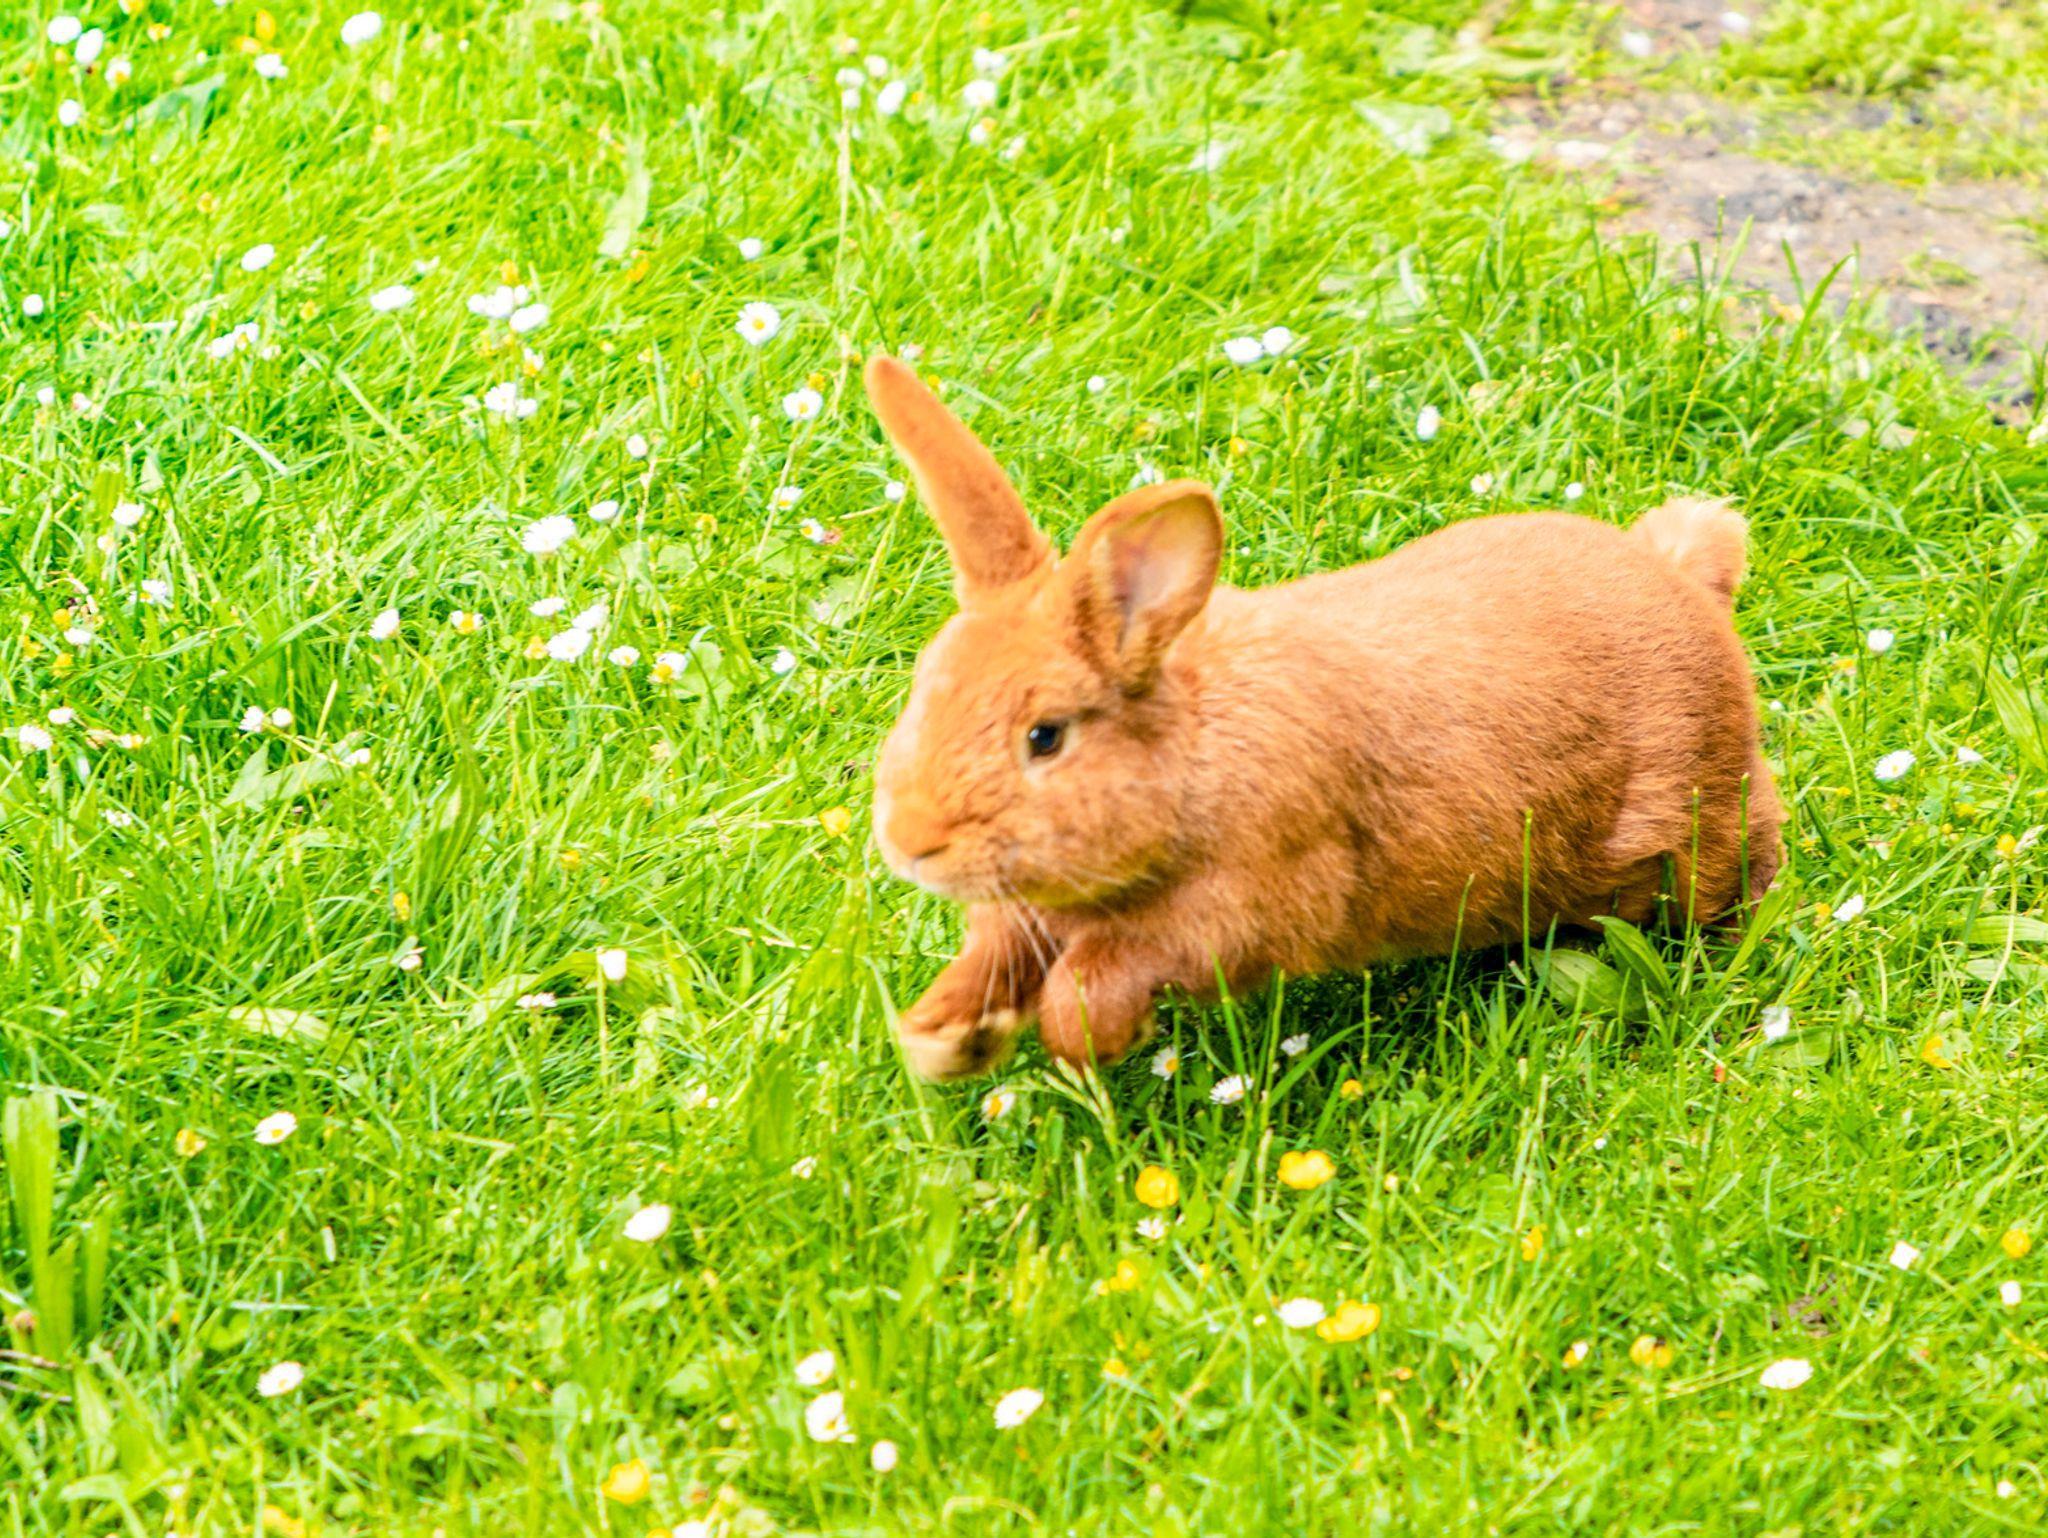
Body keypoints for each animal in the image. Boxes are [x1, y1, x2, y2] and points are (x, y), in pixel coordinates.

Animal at [864, 356, 1783, 1082]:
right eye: (926, 688)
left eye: (1045, 737)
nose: (912, 842)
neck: (1189, 751)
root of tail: (1686, 581)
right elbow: (993, 962)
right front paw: (945, 1040)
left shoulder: (1245, 905)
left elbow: (1115, 968)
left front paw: (1091, 1036)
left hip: (1695, 821)